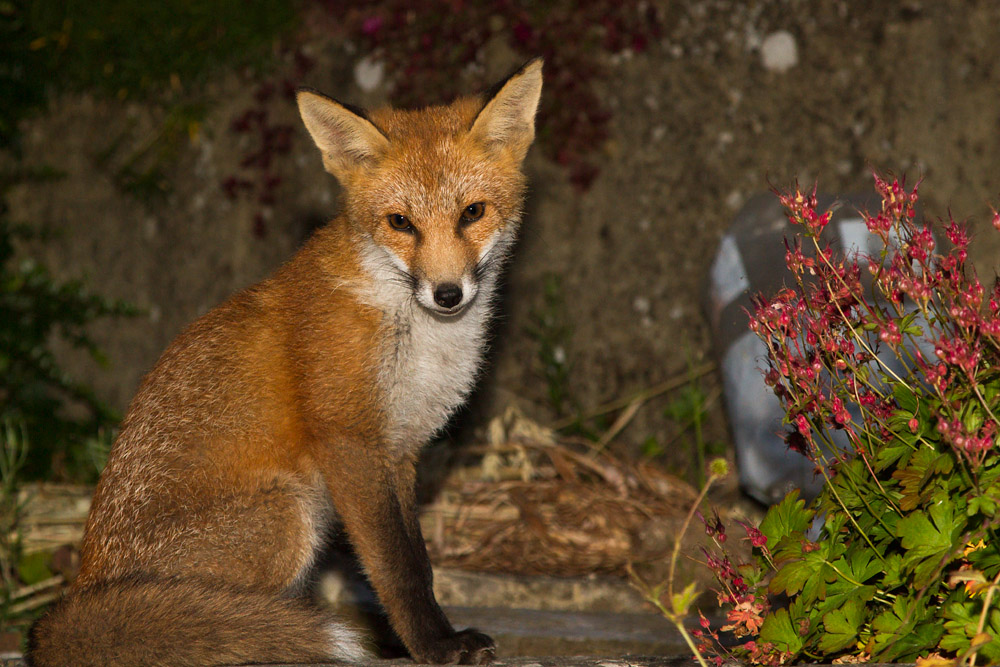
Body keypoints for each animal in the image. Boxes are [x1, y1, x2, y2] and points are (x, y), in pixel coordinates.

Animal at [27, 58, 543, 666]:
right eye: (401, 223)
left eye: (473, 213)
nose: (446, 294)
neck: (413, 330)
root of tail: (82, 590)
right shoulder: (350, 442)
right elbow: (400, 569)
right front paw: (434, 645)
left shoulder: (400, 450)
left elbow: (418, 557)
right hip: (287, 514)